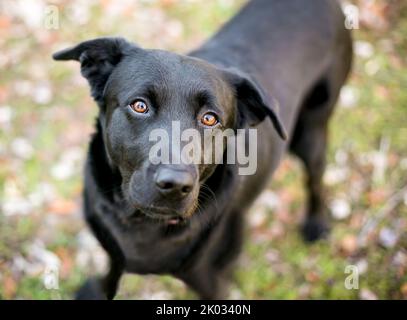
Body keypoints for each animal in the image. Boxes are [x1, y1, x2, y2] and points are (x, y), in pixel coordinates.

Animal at [53, 0, 354, 300]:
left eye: (210, 118)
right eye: (139, 105)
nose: (175, 185)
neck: (141, 224)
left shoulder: (211, 278)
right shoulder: (113, 249)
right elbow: (111, 273)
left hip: (311, 131)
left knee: (315, 179)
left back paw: (316, 224)